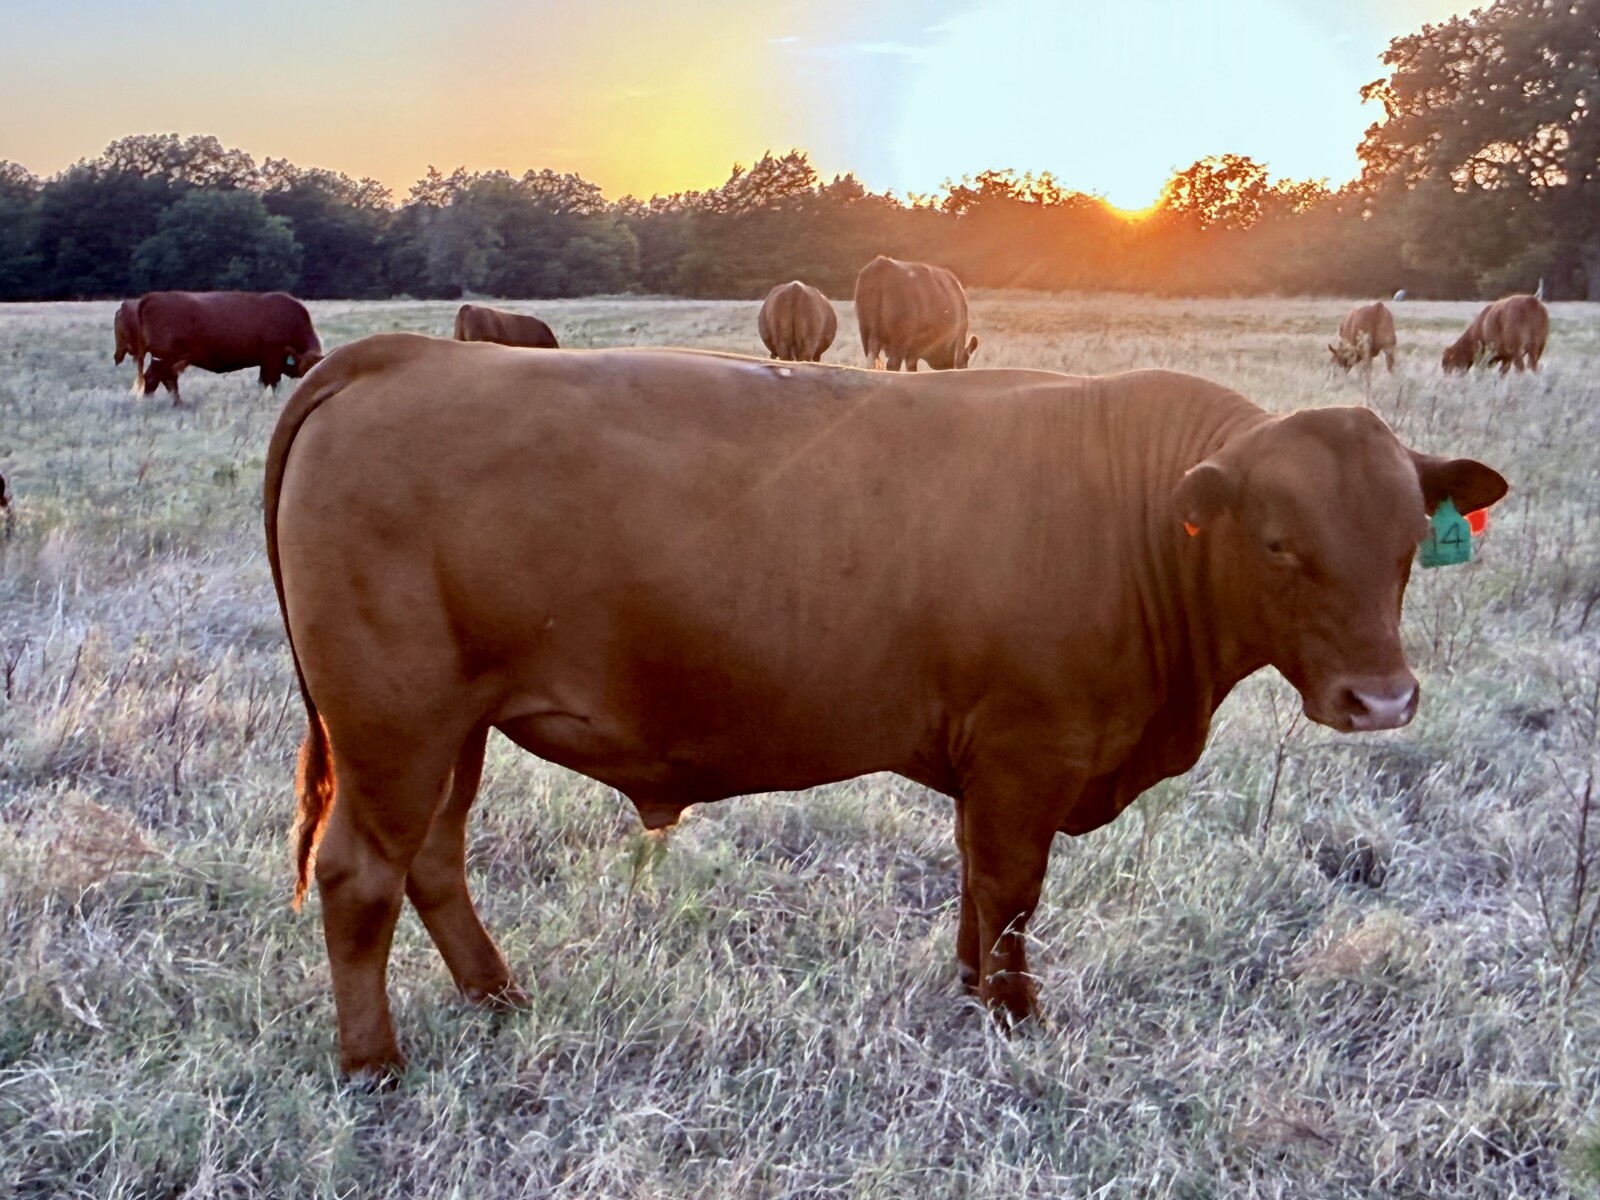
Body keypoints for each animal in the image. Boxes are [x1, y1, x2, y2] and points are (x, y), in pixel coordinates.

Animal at [135, 291, 323, 405]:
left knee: (168, 380)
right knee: (153, 378)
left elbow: (264, 382)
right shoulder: (273, 359)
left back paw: (178, 404)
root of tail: (153, 296)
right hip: (164, 358)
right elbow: (273, 382)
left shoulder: (265, 362)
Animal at [265, 335, 1508, 1073]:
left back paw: (498, 998)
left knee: (433, 861)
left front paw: (971, 996)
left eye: (1409, 540)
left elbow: (977, 885)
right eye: (1279, 542)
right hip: (396, 717)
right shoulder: (1027, 749)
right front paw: (1015, 1017)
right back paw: (375, 1064)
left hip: (451, 726)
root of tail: (411, 355)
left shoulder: (995, 766)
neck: (1143, 522)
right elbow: (1010, 891)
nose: (1382, 698)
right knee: (361, 874)